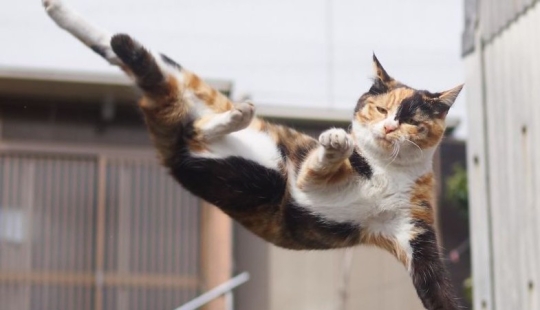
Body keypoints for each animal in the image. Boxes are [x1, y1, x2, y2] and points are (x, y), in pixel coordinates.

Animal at [44, 1, 462, 308]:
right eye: (380, 110)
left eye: (411, 120)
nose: (389, 128)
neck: (387, 169)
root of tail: (172, 146)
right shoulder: (305, 183)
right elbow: (322, 160)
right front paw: (336, 141)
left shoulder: (415, 233)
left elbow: (436, 287)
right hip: (198, 93)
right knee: (135, 57)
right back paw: (61, 12)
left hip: (200, 128)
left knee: (184, 114)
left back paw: (234, 117)